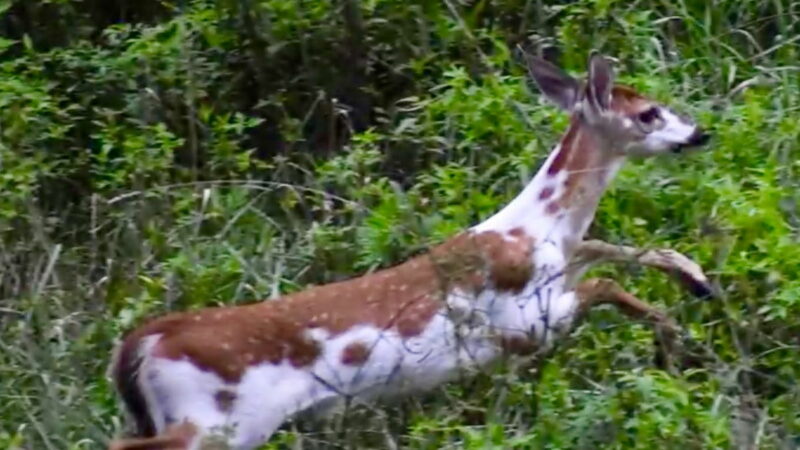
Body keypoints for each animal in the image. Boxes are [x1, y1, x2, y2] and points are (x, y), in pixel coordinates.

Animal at [108, 51, 712, 448]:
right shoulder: (524, 323)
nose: (700, 133)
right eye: (650, 113)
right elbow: (604, 281)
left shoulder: (555, 276)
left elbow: (610, 248)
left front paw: (694, 286)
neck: (537, 229)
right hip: (216, 419)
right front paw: (672, 336)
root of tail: (140, 344)